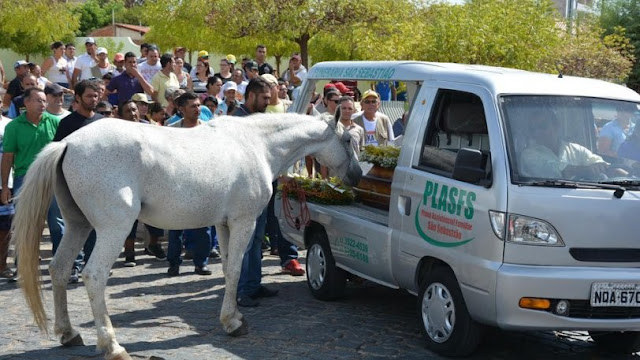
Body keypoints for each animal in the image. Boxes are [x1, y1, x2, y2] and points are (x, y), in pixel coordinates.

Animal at [15, 114, 362, 360]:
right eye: (347, 139)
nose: (357, 175)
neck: (256, 145)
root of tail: (68, 144)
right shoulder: (244, 222)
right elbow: (236, 269)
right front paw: (233, 323)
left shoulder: (223, 225)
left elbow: (228, 270)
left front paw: (232, 317)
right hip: (113, 230)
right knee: (94, 276)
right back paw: (112, 346)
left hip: (78, 226)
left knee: (59, 270)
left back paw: (68, 333)